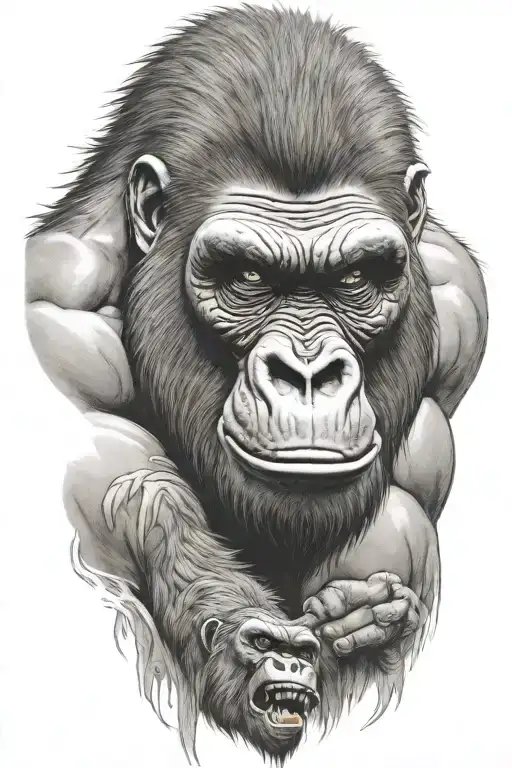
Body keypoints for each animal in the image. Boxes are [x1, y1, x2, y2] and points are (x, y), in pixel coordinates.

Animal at [25, 5, 487, 762]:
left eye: (355, 277)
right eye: (248, 276)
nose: (307, 373)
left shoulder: (460, 307)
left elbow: (398, 514)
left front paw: (365, 616)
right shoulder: (57, 313)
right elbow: (125, 480)